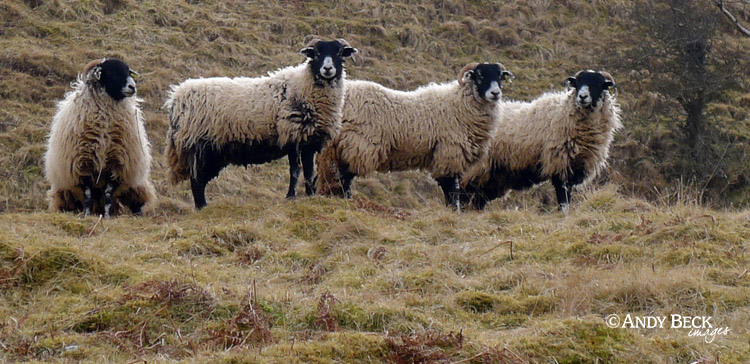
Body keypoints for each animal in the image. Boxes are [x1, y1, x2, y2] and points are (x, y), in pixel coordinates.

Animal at [45, 58, 157, 218]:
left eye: (128, 71)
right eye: (109, 72)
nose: (132, 87)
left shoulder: (115, 164)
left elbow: (108, 195)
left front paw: (107, 216)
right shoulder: (83, 165)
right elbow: (87, 196)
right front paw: (86, 215)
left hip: (134, 186)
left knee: (135, 200)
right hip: (65, 190)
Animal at [166, 38, 360, 209]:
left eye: (339, 53)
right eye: (317, 54)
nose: (328, 69)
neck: (304, 86)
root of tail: (176, 99)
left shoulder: (309, 141)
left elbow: (309, 173)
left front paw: (310, 196)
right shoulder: (292, 135)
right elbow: (295, 171)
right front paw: (291, 197)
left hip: (213, 153)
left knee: (200, 180)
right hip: (199, 147)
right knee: (196, 181)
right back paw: (201, 207)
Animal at [314, 62, 516, 208]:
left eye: (500, 76)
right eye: (480, 75)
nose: (495, 93)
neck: (459, 104)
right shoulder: (449, 154)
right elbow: (451, 189)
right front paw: (454, 211)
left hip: (332, 149)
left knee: (333, 176)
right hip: (358, 145)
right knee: (345, 177)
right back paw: (347, 201)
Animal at [462, 69, 624, 210]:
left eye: (598, 83)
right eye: (577, 83)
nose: (582, 96)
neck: (565, 112)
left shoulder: (575, 165)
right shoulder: (559, 162)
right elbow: (563, 196)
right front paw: (563, 214)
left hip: (492, 178)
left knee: (478, 201)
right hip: (475, 169)